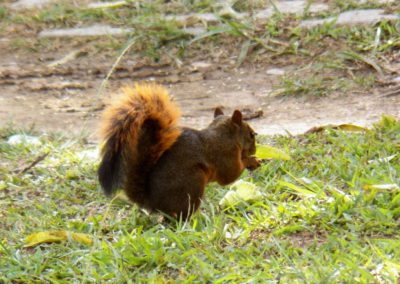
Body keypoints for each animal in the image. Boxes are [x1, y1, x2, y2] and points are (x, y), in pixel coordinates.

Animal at [97, 82, 260, 220]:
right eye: (251, 134)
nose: (254, 150)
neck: (223, 134)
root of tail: (151, 202)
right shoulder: (225, 156)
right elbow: (230, 176)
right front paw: (252, 161)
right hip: (193, 183)